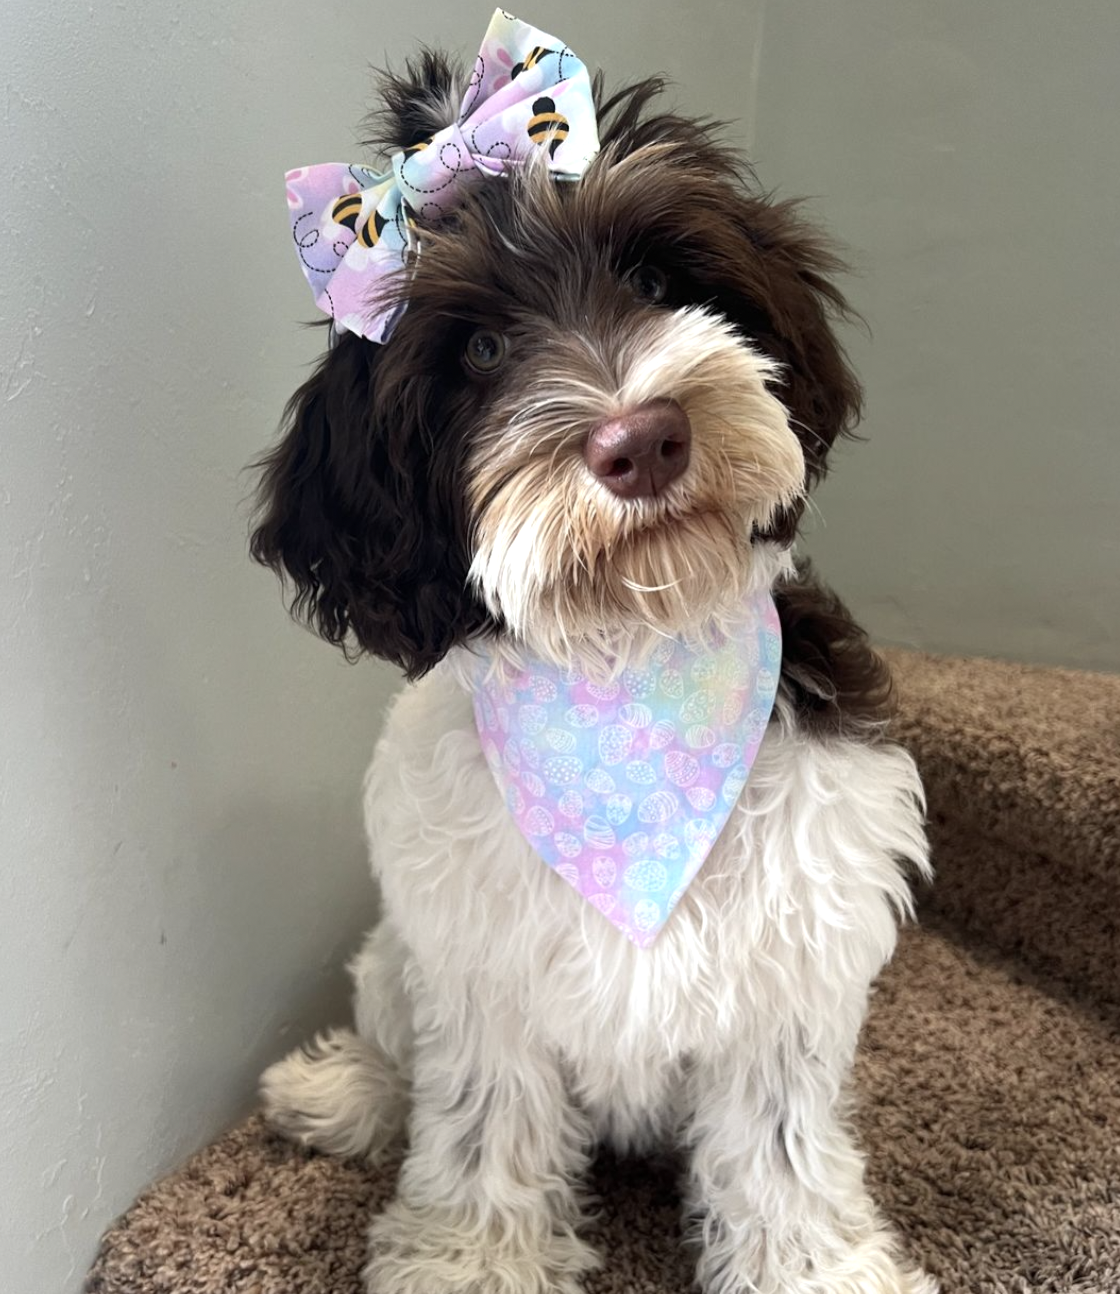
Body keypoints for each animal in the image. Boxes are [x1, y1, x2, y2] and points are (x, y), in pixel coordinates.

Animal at [253, 12, 936, 1294]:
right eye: (476, 349)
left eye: (659, 280)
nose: (642, 438)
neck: (630, 660)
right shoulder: (479, 977)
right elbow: (479, 1129)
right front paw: (468, 1259)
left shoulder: (791, 967)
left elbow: (779, 1153)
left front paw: (816, 1264)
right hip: (396, 955)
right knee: (394, 1045)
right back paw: (342, 1090)